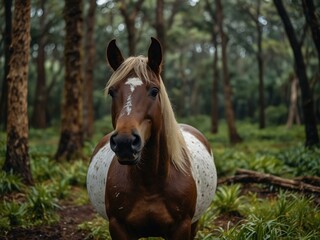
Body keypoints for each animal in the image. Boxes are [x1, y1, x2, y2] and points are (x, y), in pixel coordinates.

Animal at [87, 38, 218, 239]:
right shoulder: (118, 228)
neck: (150, 182)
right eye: (112, 92)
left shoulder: (182, 228)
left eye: (154, 91)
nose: (125, 143)